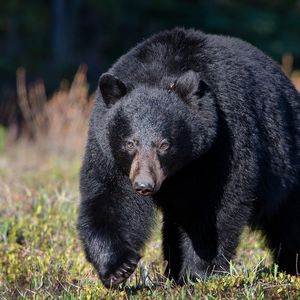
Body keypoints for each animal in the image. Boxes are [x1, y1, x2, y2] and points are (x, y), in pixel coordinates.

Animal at [77, 28, 300, 288]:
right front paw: (118, 267)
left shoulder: (223, 141)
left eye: (164, 144)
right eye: (130, 142)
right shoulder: (108, 150)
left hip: (287, 163)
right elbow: (111, 197)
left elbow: (217, 206)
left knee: (290, 222)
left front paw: (199, 273)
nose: (144, 185)